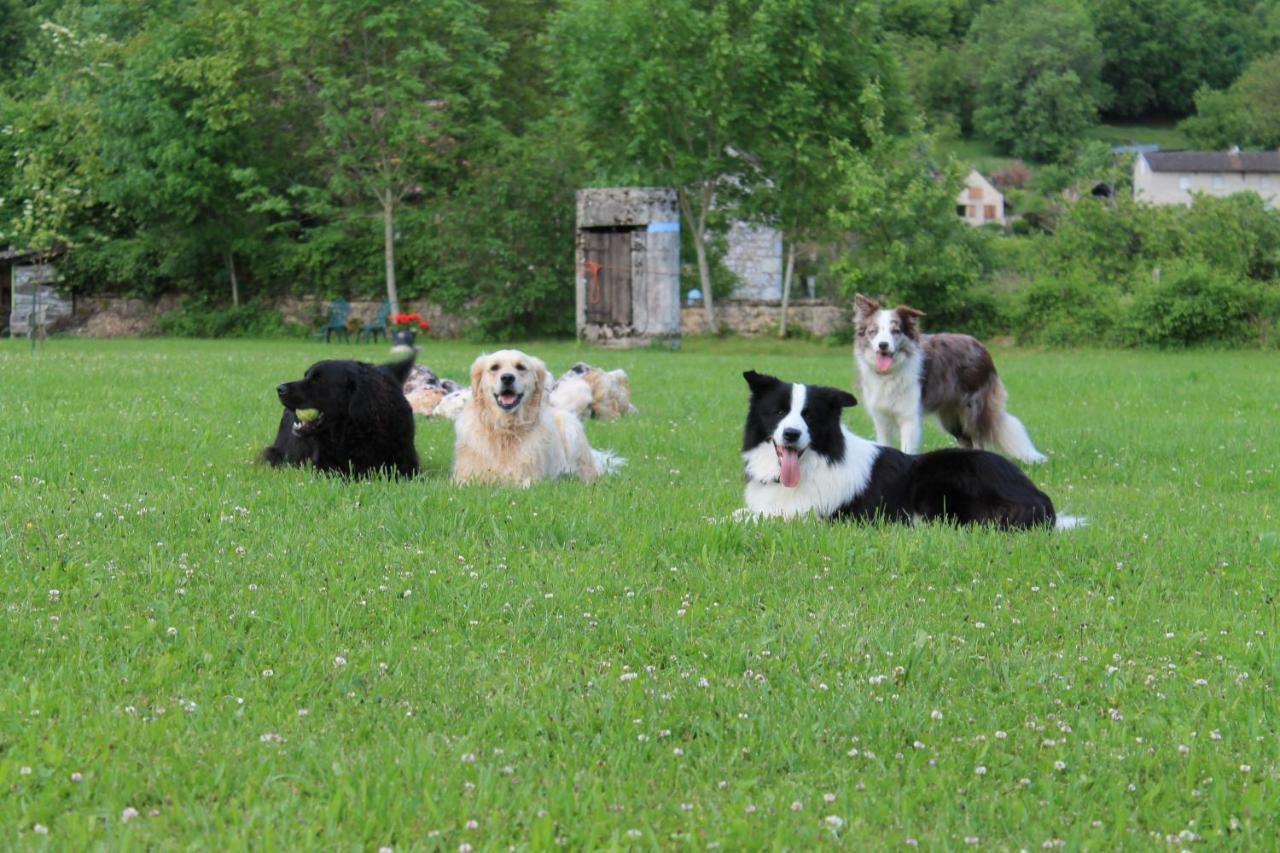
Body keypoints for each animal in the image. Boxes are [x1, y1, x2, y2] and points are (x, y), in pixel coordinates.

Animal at [455, 348, 624, 484]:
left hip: (571, 428)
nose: (507, 377)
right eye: (494, 367)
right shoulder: (464, 476)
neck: (506, 429)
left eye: (521, 367)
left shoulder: (531, 476)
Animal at [855, 294, 1044, 466]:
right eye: (873, 331)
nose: (883, 345)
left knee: (978, 441)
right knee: (966, 442)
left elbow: (907, 449)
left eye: (896, 331)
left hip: (973, 412)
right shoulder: (881, 419)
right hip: (951, 418)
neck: (890, 373)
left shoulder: (909, 418)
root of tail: (980, 345)